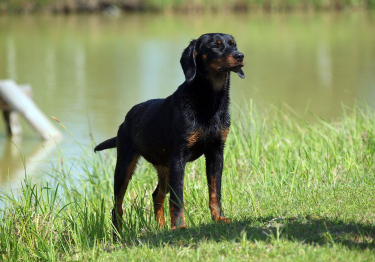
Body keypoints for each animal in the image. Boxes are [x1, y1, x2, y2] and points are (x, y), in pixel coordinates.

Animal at [95, 32, 245, 231]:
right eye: (216, 45)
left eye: (233, 44)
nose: (240, 56)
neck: (209, 101)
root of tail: (126, 120)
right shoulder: (179, 157)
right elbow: (177, 199)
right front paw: (180, 226)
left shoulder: (216, 152)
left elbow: (215, 192)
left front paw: (218, 218)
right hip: (125, 165)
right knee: (117, 206)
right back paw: (119, 234)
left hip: (164, 167)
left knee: (156, 196)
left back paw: (161, 228)